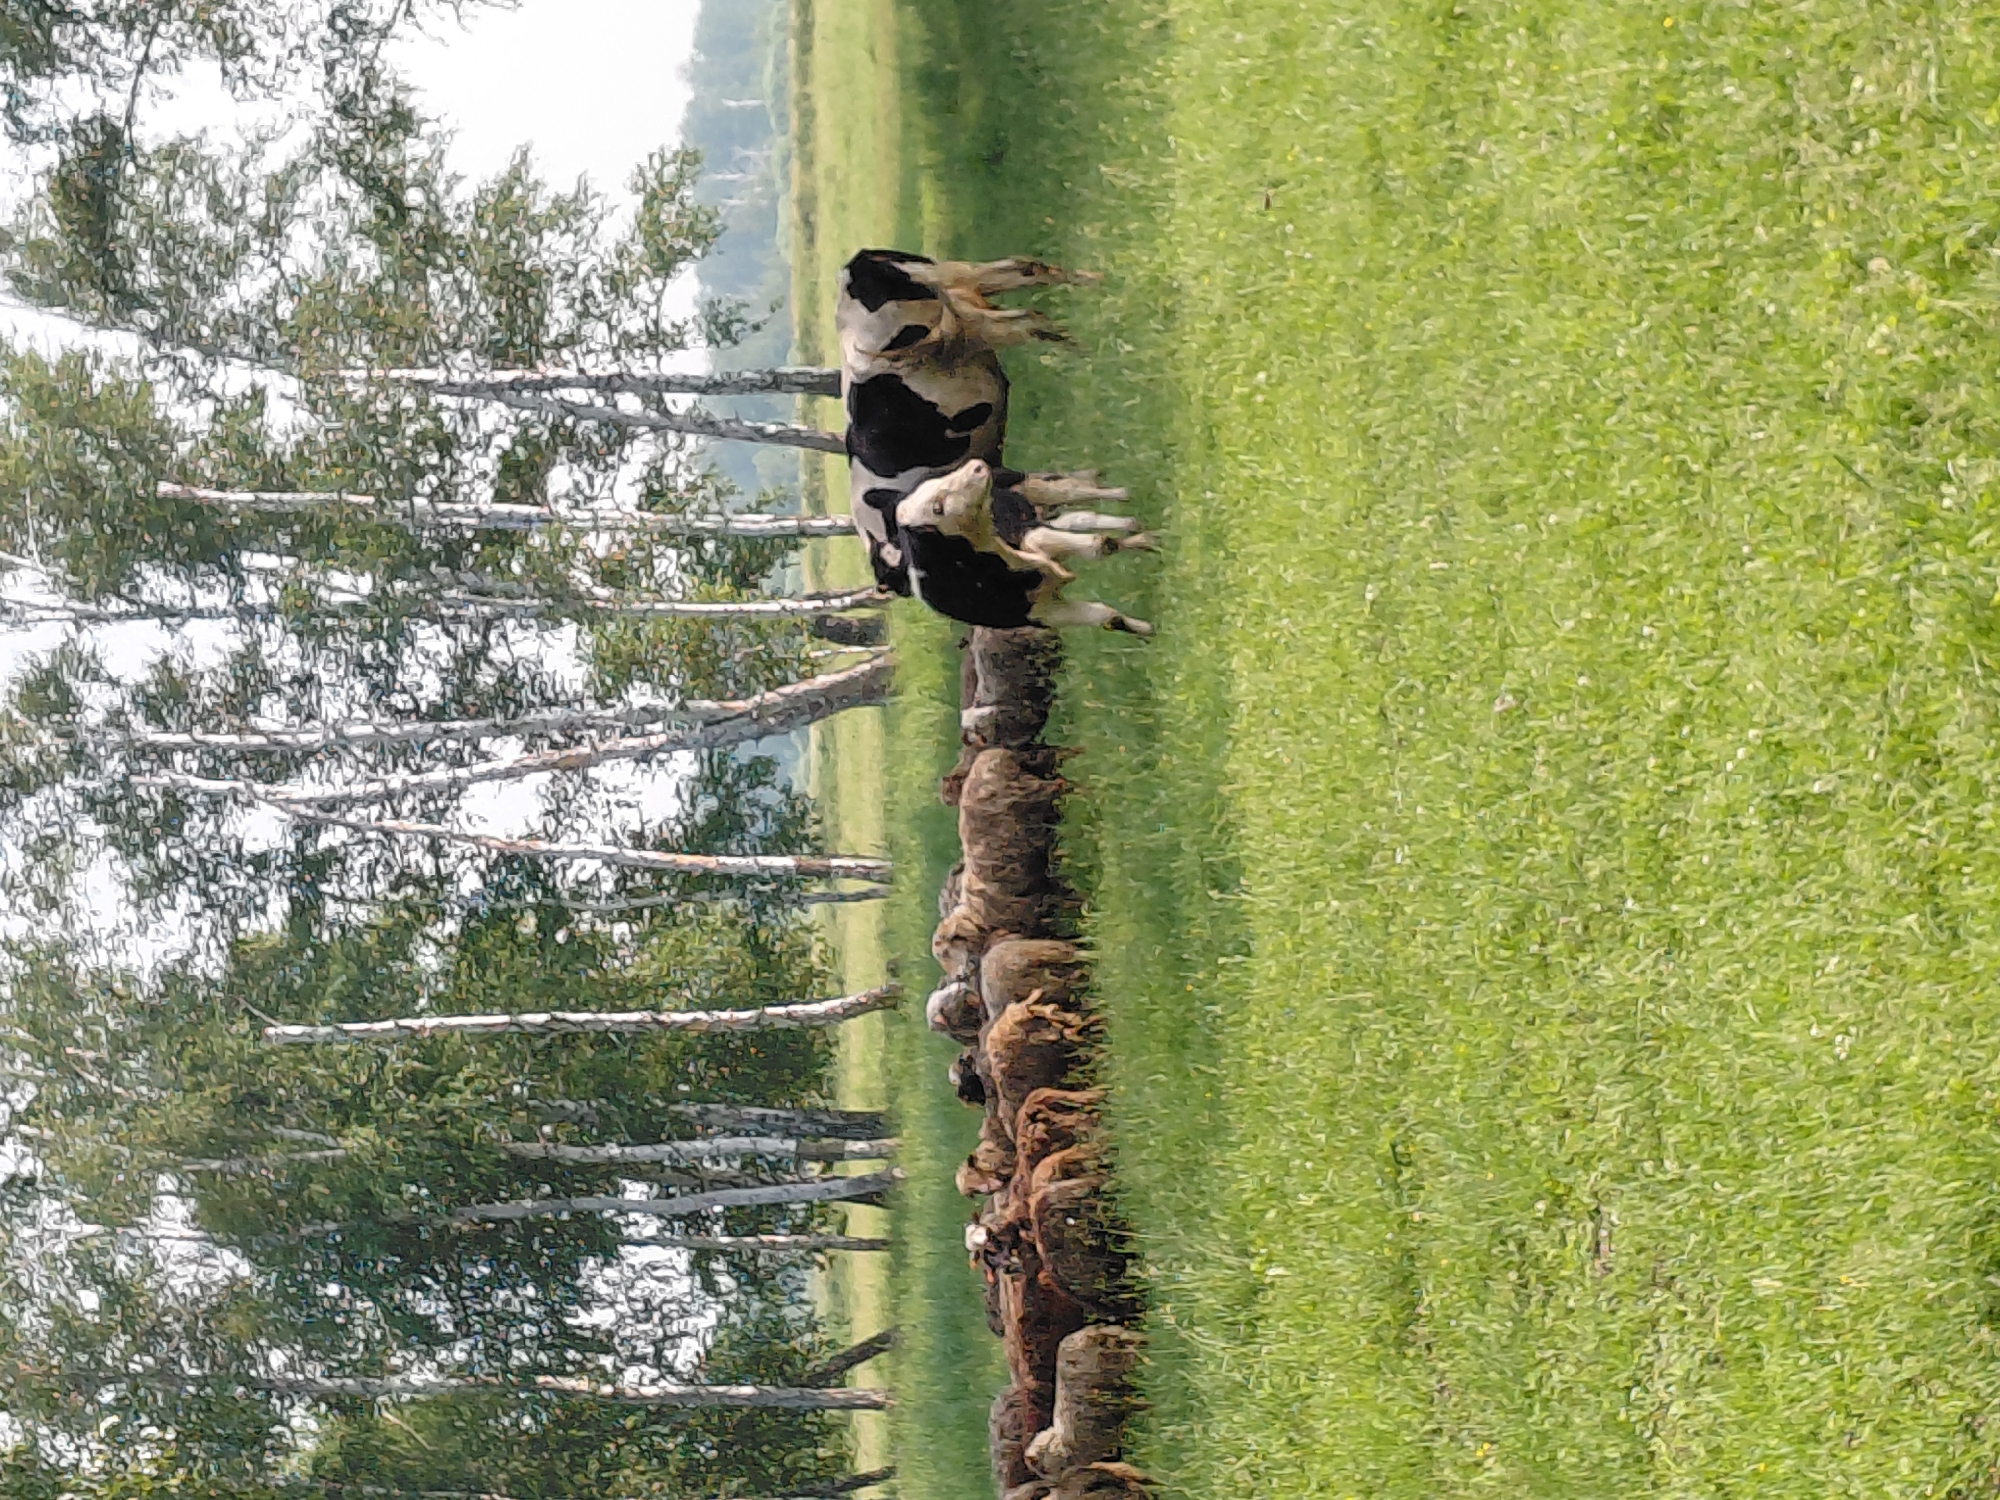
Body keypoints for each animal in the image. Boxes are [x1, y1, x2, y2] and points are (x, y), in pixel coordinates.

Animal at [836, 248, 1136, 593]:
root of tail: (855, 267)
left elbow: (1058, 492)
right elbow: (1058, 487)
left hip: (960, 321)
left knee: (1030, 317)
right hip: (966, 298)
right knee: (1028, 283)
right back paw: (1096, 293)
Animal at [896, 459, 1155, 635]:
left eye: (937, 479)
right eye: (937, 507)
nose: (976, 467)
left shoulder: (1023, 529)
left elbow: (1088, 545)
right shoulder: (1043, 613)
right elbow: (1108, 617)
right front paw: (1150, 632)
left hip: (1023, 484)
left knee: (1071, 491)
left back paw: (1123, 497)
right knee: (1077, 517)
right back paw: (1133, 529)